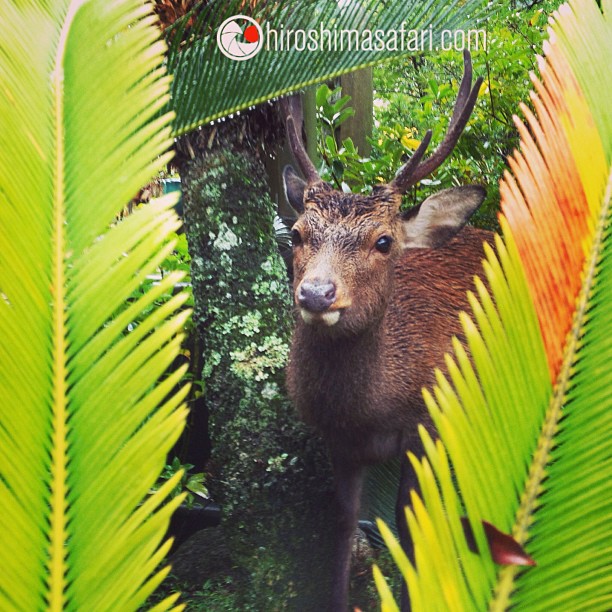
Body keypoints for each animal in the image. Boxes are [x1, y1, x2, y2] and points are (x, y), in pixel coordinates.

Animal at [282, 50, 492, 608]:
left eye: (382, 241)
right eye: (297, 234)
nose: (317, 294)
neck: (370, 409)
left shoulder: (425, 423)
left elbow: (408, 525)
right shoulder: (337, 440)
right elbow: (342, 525)